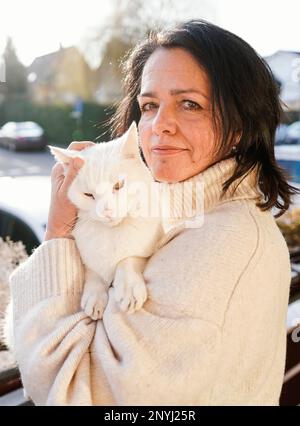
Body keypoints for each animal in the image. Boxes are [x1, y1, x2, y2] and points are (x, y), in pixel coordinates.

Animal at [50, 123, 165, 320]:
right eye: (88, 195)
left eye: (118, 185)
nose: (107, 212)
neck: (111, 232)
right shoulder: (89, 256)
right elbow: (93, 270)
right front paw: (95, 294)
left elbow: (129, 258)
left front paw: (128, 286)